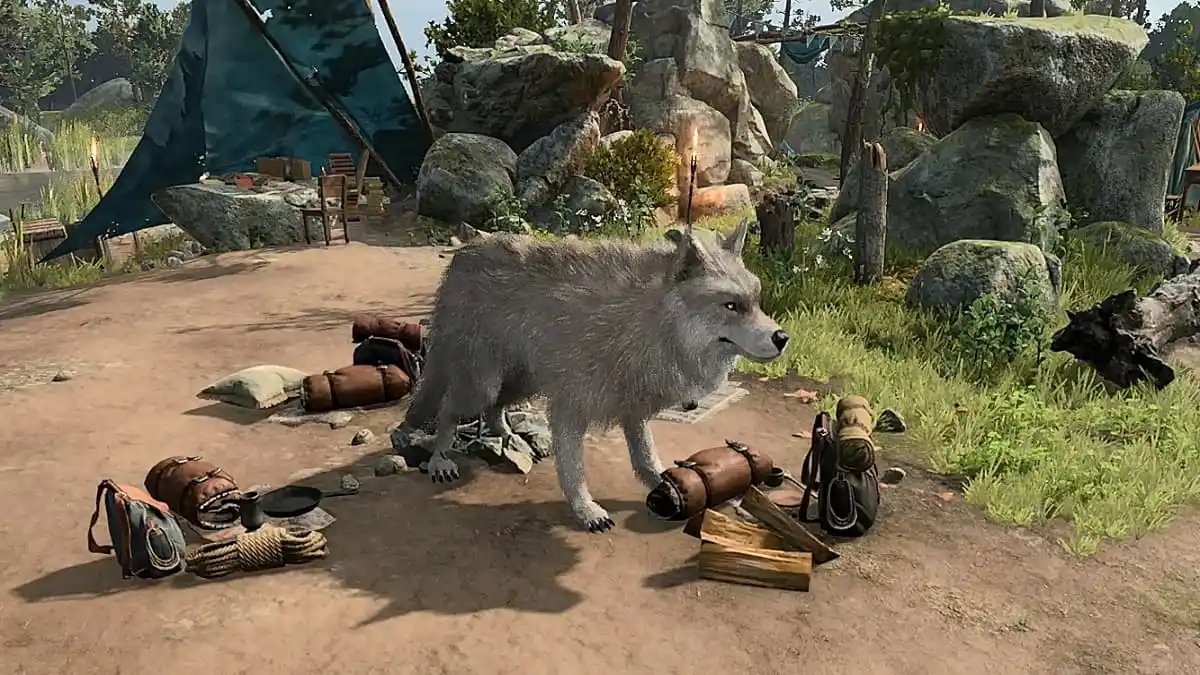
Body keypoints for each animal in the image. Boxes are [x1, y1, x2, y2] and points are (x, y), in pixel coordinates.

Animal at [401, 220, 789, 532]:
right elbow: (573, 471)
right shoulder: (569, 410)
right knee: (449, 411)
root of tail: (465, 253)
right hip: (482, 384)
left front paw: (671, 484)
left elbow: (647, 459)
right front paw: (587, 511)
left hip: (522, 381)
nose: (782, 337)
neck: (646, 324)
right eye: (731, 306)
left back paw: (510, 438)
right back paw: (440, 460)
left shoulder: (632, 410)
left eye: (757, 302)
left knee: (495, 410)